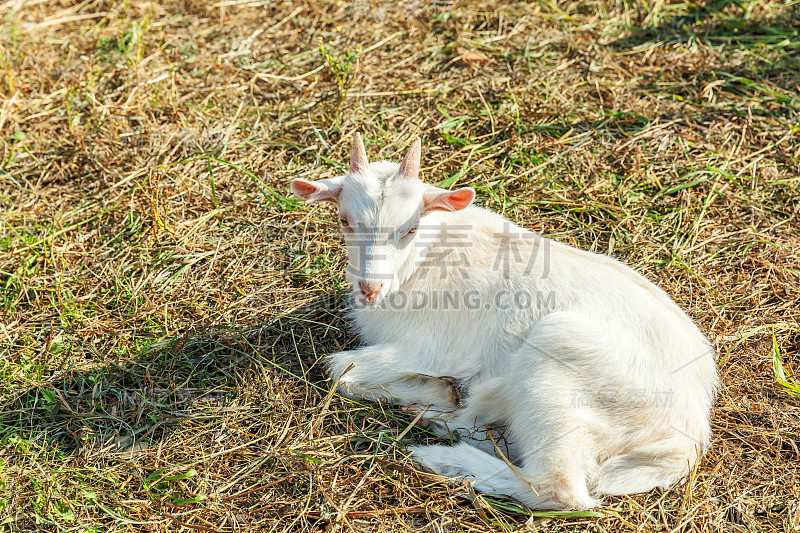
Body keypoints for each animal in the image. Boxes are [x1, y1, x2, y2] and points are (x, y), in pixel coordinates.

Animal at [290, 133, 720, 508]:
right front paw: (438, 395)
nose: (370, 288)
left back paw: (445, 453)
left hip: (558, 358)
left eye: (411, 228)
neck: (425, 259)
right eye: (345, 220)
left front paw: (435, 393)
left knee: (557, 489)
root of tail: (686, 434)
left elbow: (336, 368)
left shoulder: (428, 348)